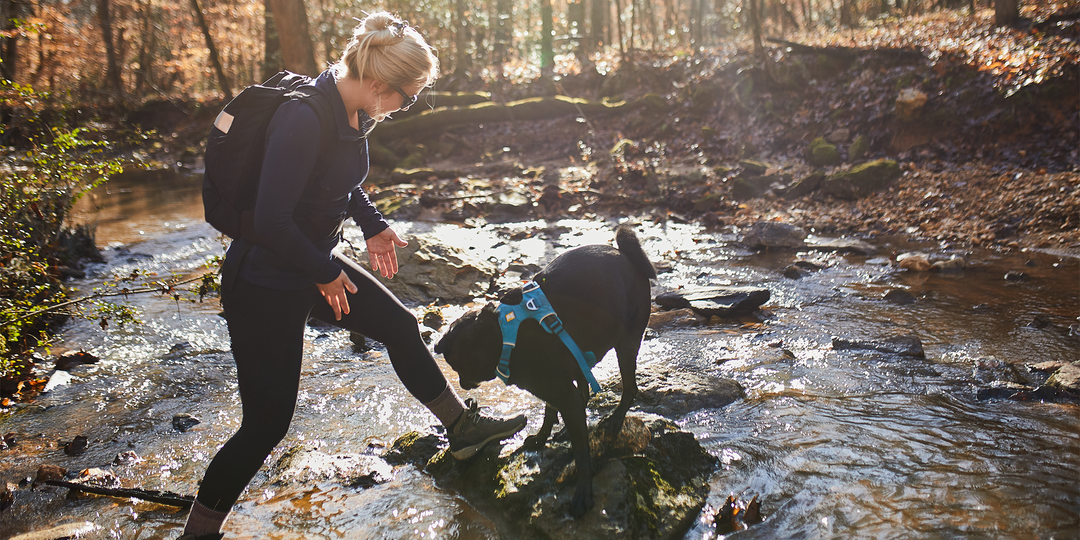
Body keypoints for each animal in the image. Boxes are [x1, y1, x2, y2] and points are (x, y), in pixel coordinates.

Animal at [432, 222, 652, 514]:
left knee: (629, 388)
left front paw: (583, 492)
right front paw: (542, 436)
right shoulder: (556, 387)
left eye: (456, 364)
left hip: (626, 344)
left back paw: (616, 419)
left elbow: (581, 451)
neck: (504, 336)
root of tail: (627, 256)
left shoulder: (562, 392)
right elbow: (550, 410)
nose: (462, 384)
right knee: (585, 390)